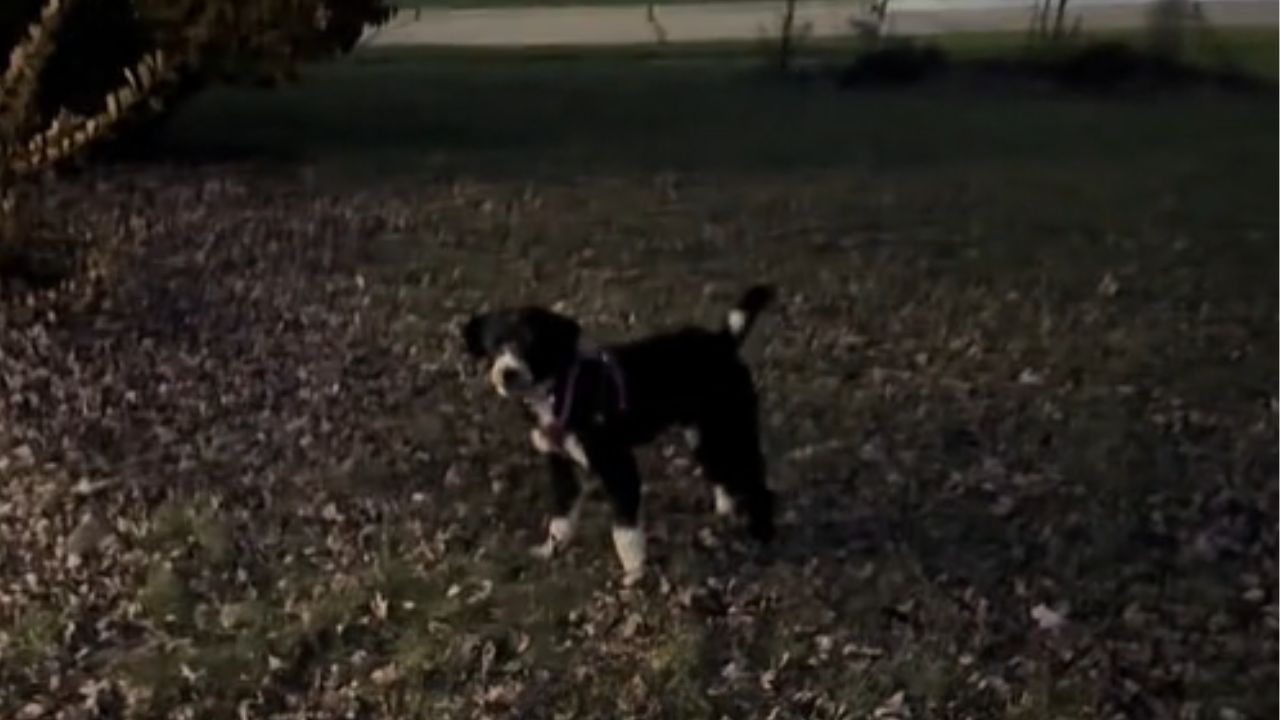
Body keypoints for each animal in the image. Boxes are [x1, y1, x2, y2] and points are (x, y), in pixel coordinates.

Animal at [463, 284, 773, 584]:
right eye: (494, 345)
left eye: (530, 342)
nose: (507, 373)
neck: (557, 390)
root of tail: (722, 340)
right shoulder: (560, 463)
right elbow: (561, 515)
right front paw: (552, 548)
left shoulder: (616, 464)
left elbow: (624, 531)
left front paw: (634, 571)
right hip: (704, 433)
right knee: (723, 472)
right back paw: (726, 507)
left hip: (727, 425)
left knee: (755, 480)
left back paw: (762, 535)